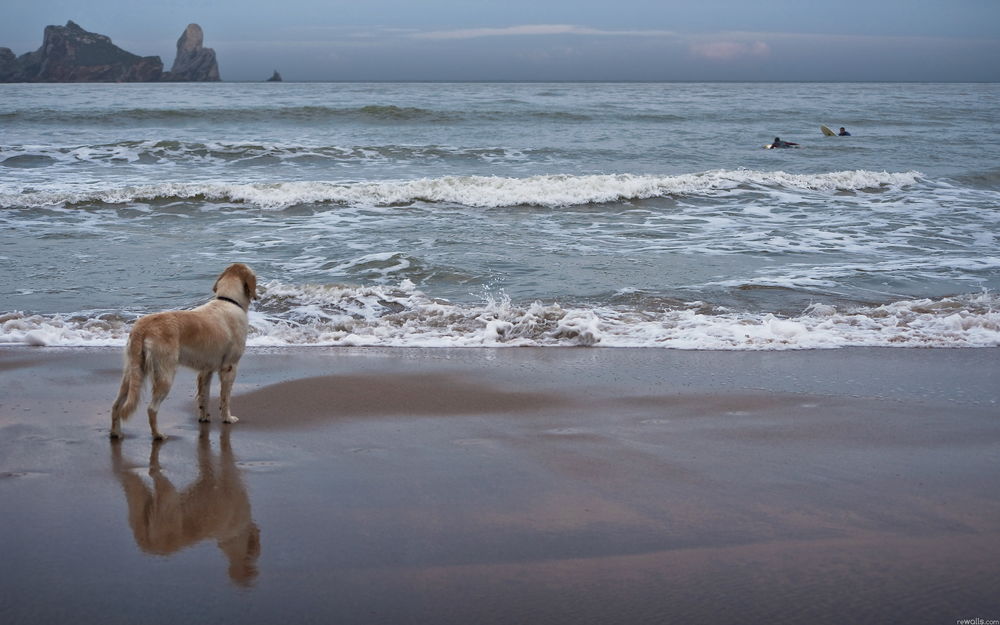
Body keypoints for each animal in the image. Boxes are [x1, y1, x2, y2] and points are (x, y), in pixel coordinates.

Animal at [110, 264, 258, 438]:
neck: (229, 301)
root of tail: (142, 327)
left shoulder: (206, 371)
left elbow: (204, 397)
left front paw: (204, 417)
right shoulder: (230, 367)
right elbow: (225, 397)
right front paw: (227, 418)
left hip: (132, 373)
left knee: (116, 405)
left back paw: (116, 433)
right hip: (165, 375)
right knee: (151, 409)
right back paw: (158, 435)